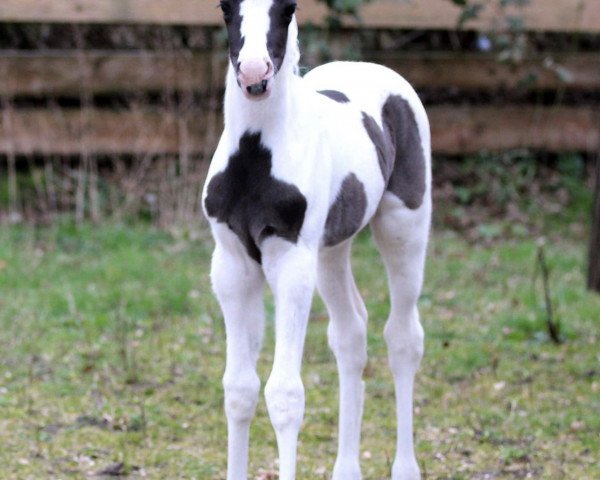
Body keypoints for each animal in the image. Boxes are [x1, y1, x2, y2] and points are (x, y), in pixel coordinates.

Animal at [202, 1, 432, 478]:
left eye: (288, 9)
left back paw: (405, 468)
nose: (255, 74)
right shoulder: (231, 266)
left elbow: (285, 395)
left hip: (404, 227)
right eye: (224, 8)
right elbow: (239, 389)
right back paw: (346, 470)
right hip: (330, 252)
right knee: (350, 334)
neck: (256, 156)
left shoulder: (291, 265)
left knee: (403, 337)